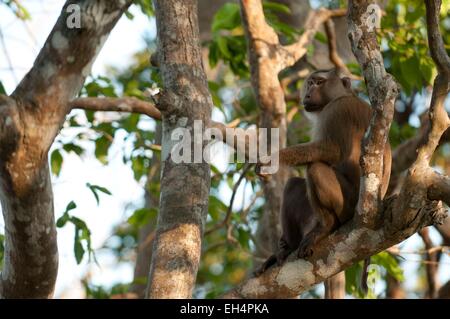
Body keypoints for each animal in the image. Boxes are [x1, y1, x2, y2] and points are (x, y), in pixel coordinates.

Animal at [256, 68, 390, 278]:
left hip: (348, 204)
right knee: (294, 185)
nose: (308, 94)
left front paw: (272, 159)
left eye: (319, 82)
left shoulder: (338, 109)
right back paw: (288, 248)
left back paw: (326, 226)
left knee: (315, 168)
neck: (343, 95)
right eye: (310, 83)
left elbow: (331, 150)